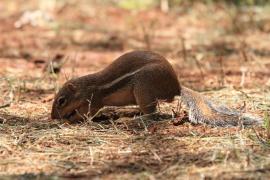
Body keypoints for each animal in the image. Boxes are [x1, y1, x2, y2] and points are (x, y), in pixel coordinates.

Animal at [50, 50, 262, 126]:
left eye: (61, 101)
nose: (52, 117)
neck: (85, 87)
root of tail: (176, 87)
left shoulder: (93, 100)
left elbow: (86, 113)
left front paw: (70, 120)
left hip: (143, 89)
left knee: (153, 114)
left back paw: (130, 120)